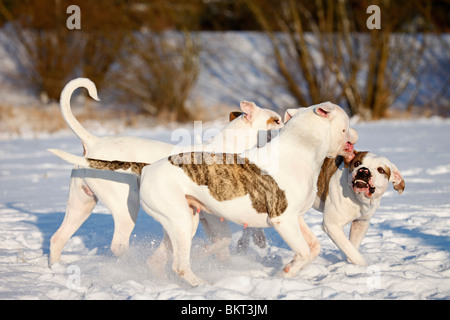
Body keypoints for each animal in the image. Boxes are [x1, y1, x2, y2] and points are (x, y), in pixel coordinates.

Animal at [49, 78, 282, 264]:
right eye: (276, 120)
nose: (286, 121)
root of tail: (93, 142)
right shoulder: (212, 214)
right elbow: (223, 241)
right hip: (126, 207)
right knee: (119, 245)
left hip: (81, 205)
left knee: (57, 238)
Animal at [54, 102, 358, 284]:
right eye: (345, 122)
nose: (355, 134)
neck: (301, 147)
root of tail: (147, 167)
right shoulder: (282, 219)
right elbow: (304, 252)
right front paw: (287, 271)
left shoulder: (295, 218)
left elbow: (313, 247)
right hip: (162, 217)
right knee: (176, 264)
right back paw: (199, 284)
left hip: (169, 220)